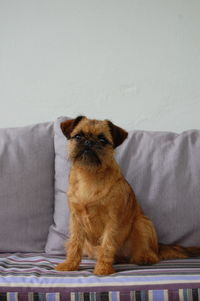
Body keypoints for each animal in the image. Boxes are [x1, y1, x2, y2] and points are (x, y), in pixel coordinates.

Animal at [55, 116, 200, 274]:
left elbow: (107, 245)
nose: (88, 142)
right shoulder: (76, 221)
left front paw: (103, 269)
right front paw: (70, 264)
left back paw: (144, 258)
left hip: (142, 223)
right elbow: (74, 244)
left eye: (102, 140)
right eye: (78, 136)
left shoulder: (112, 221)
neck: (90, 175)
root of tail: (159, 246)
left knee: (150, 253)